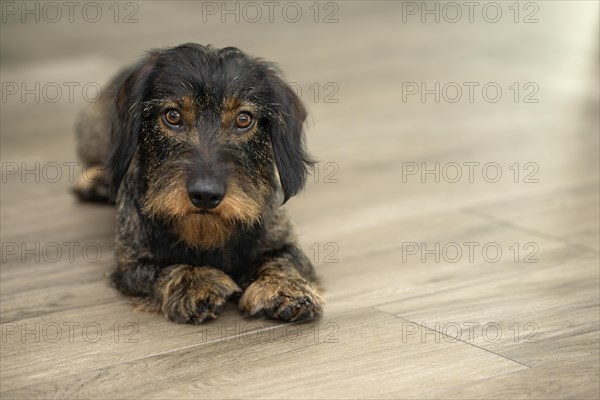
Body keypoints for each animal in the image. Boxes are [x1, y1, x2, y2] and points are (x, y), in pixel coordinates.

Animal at [74, 43, 324, 324]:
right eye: (172, 116)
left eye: (243, 119)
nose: (205, 195)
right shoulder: (131, 266)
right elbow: (164, 268)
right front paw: (196, 281)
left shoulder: (280, 237)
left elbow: (286, 257)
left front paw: (286, 288)